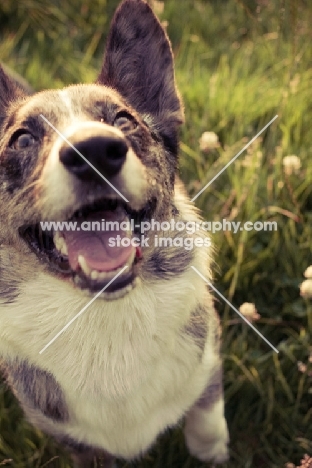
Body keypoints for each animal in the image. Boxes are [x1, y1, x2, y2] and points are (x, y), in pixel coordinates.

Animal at [0, 1, 229, 466]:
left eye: (124, 119)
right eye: (22, 139)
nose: (94, 152)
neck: (104, 314)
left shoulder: (208, 360)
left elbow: (206, 420)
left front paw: (214, 453)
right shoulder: (75, 440)